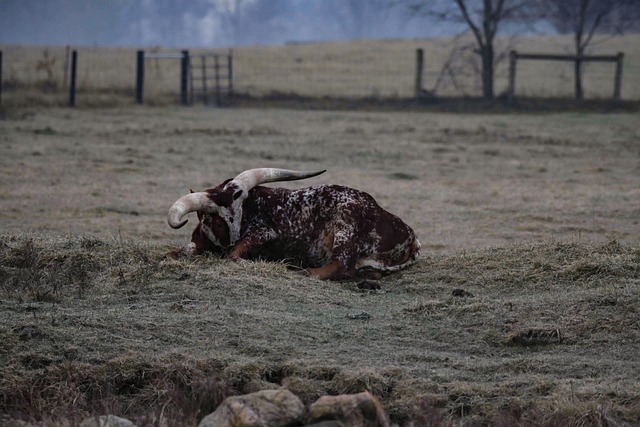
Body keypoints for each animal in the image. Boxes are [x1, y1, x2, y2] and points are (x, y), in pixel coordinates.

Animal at [166, 167, 420, 280]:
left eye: (241, 209)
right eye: (219, 223)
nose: (233, 238)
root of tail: (410, 235)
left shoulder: (265, 232)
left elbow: (235, 254)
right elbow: (180, 251)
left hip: (345, 225)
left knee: (342, 266)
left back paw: (304, 270)